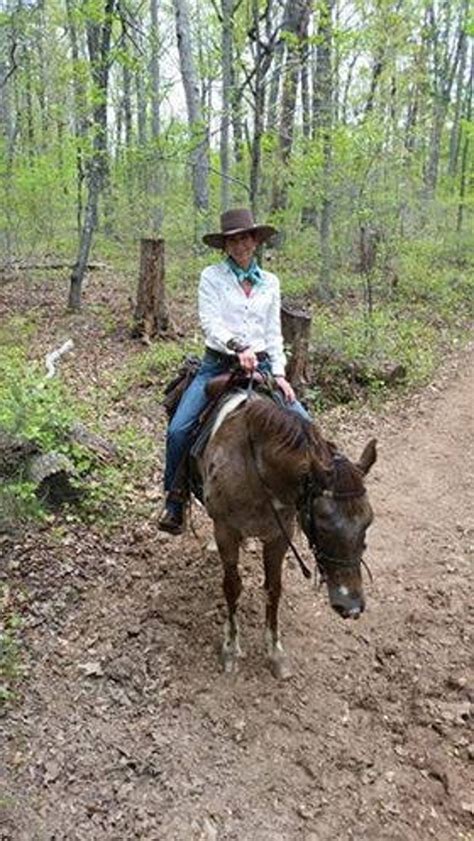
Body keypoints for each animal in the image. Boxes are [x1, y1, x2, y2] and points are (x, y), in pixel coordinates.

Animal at [194, 390, 376, 680]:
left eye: (368, 522)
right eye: (323, 524)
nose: (351, 607)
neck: (257, 471)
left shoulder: (278, 537)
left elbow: (274, 588)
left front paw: (275, 652)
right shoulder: (226, 531)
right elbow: (232, 587)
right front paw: (231, 649)